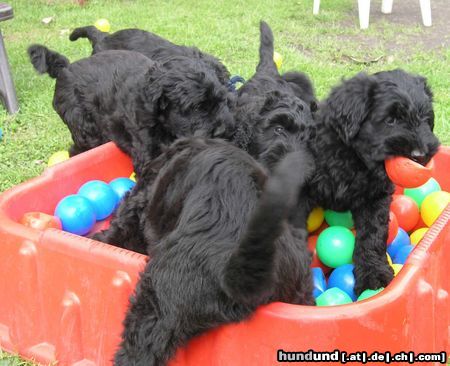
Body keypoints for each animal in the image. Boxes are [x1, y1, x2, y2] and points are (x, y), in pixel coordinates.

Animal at [28, 45, 234, 176]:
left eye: (223, 99)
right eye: (196, 107)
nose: (222, 131)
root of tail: (65, 69)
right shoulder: (147, 152)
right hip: (83, 127)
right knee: (77, 148)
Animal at [292, 70, 440, 294]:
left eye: (426, 119)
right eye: (390, 120)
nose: (420, 155)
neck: (355, 159)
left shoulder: (375, 198)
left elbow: (373, 235)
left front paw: (373, 273)